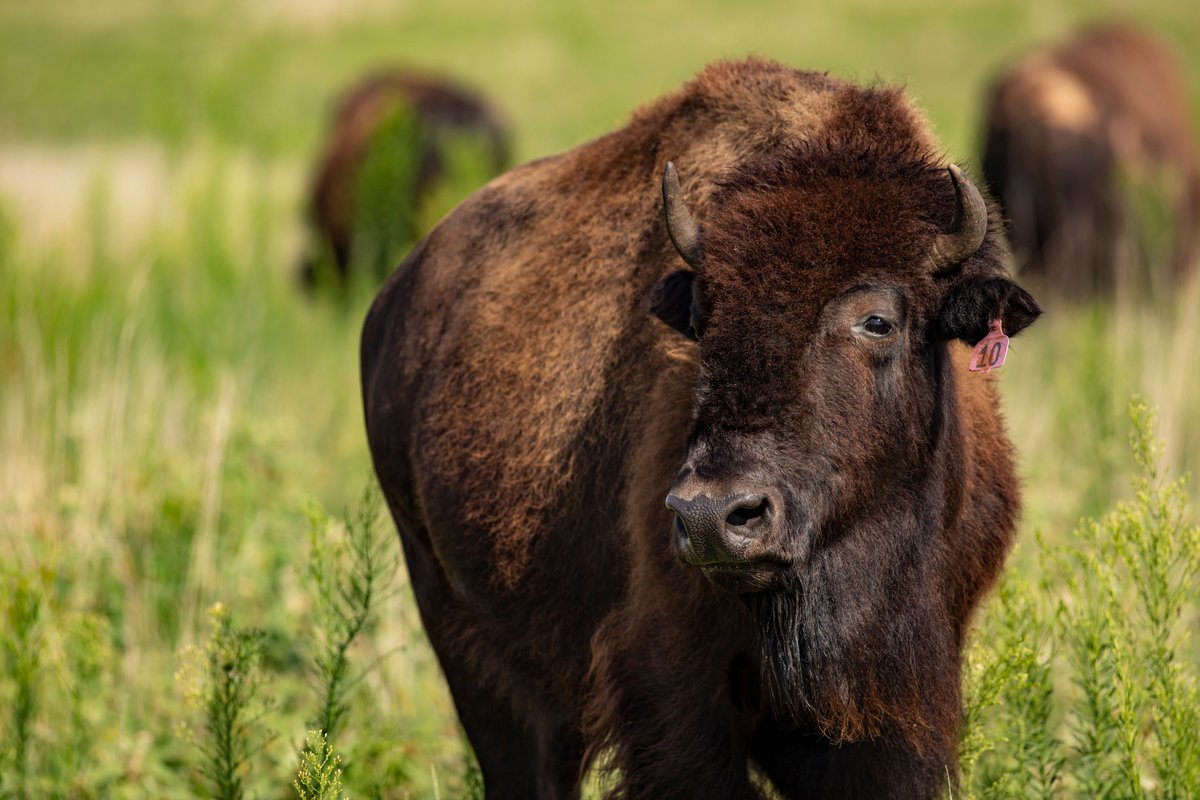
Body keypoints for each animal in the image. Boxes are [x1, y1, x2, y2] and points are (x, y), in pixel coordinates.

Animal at [362, 58, 1040, 799]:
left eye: (877, 321)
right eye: (704, 319)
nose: (713, 517)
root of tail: (394, 299)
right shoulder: (673, 684)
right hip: (464, 637)